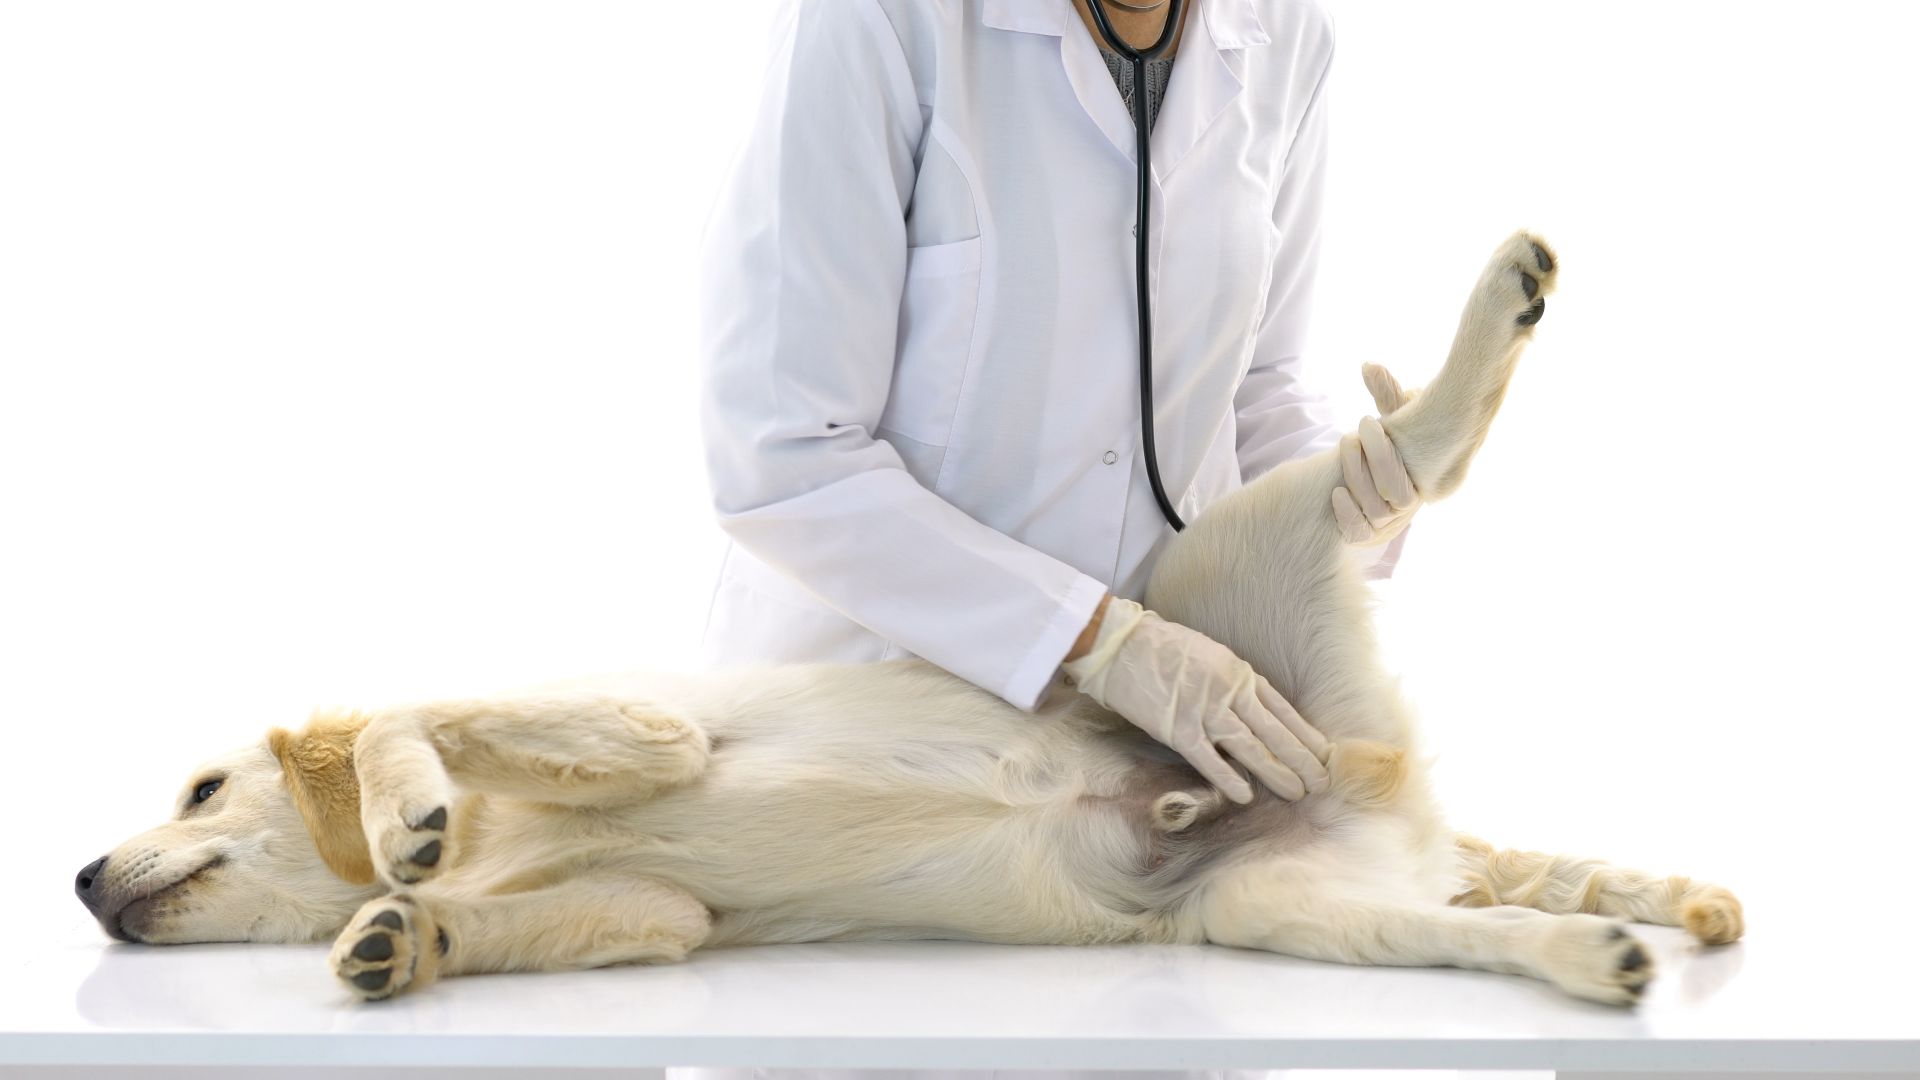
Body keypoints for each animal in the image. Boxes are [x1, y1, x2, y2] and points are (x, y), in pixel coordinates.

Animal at [78, 231, 1743, 1006]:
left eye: (199, 789)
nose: (84, 878)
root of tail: (1377, 781)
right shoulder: (659, 915)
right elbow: (592, 909)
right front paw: (400, 937)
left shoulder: (658, 726)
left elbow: (420, 714)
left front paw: (401, 813)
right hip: (1283, 909)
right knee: (1468, 927)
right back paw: (1592, 960)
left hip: (1231, 556)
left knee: (1402, 460)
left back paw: (1494, 313)